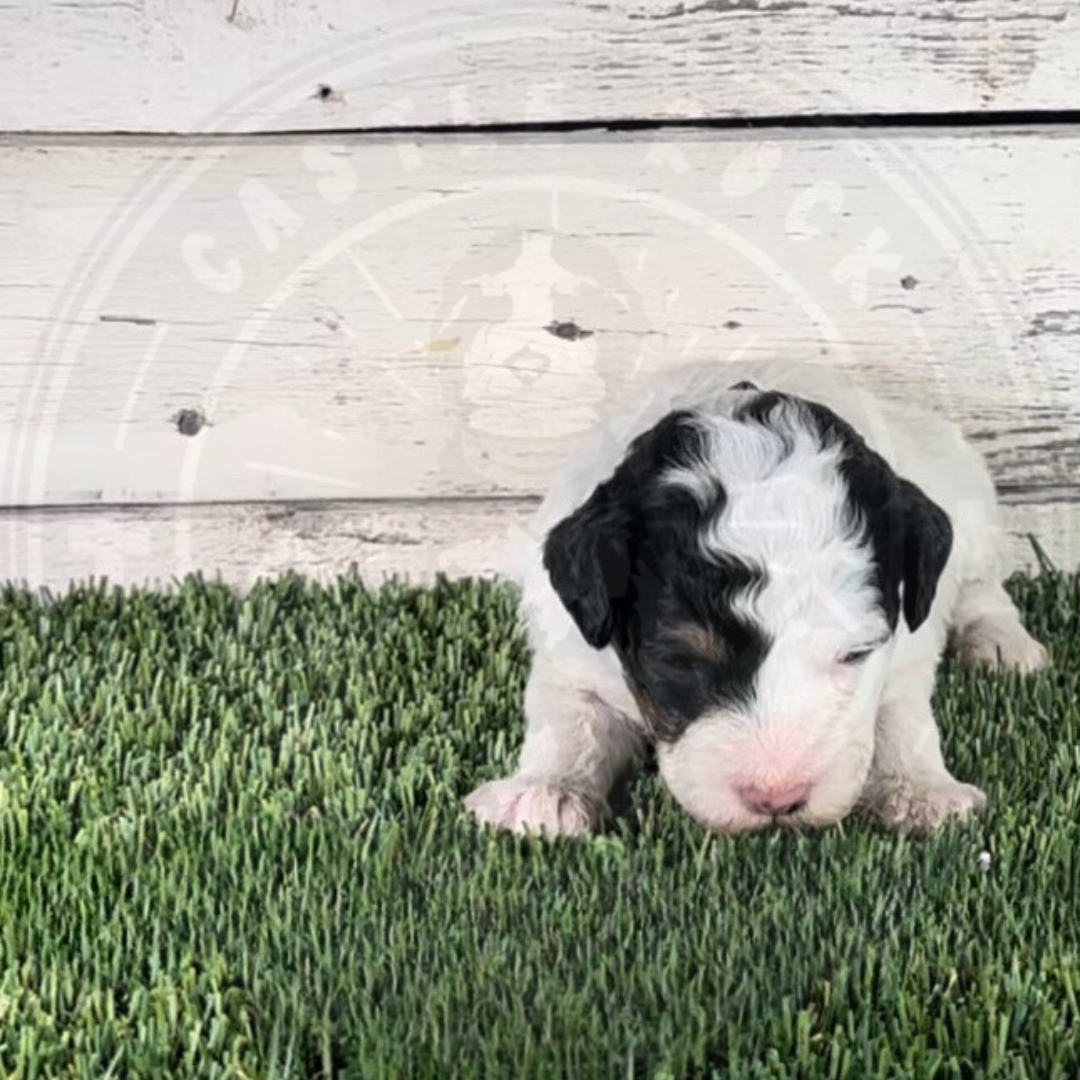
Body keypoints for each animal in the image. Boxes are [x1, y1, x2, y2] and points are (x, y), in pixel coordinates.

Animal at [464, 358, 1045, 838]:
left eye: (855, 654)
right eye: (679, 659)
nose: (776, 799)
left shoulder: (905, 649)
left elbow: (904, 718)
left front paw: (922, 792)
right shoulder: (571, 650)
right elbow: (568, 722)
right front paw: (543, 793)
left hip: (967, 494)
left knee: (982, 585)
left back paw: (1003, 644)